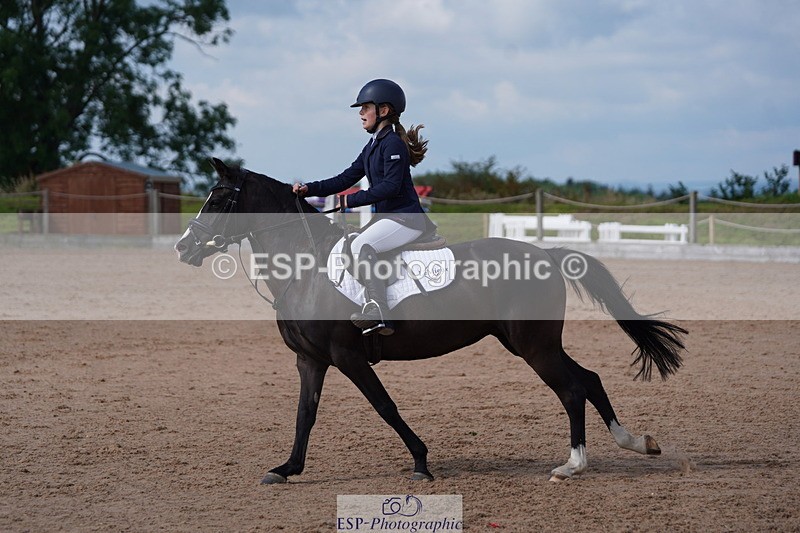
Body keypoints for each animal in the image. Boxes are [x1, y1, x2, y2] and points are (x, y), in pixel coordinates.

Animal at [174, 158, 686, 483]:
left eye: (218, 199)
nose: (183, 246)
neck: (306, 267)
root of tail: (546, 253)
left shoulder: (348, 356)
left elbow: (385, 407)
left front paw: (421, 463)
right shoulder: (311, 360)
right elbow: (305, 414)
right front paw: (286, 469)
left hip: (534, 347)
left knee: (572, 389)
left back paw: (573, 465)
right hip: (529, 343)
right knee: (590, 379)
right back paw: (635, 443)